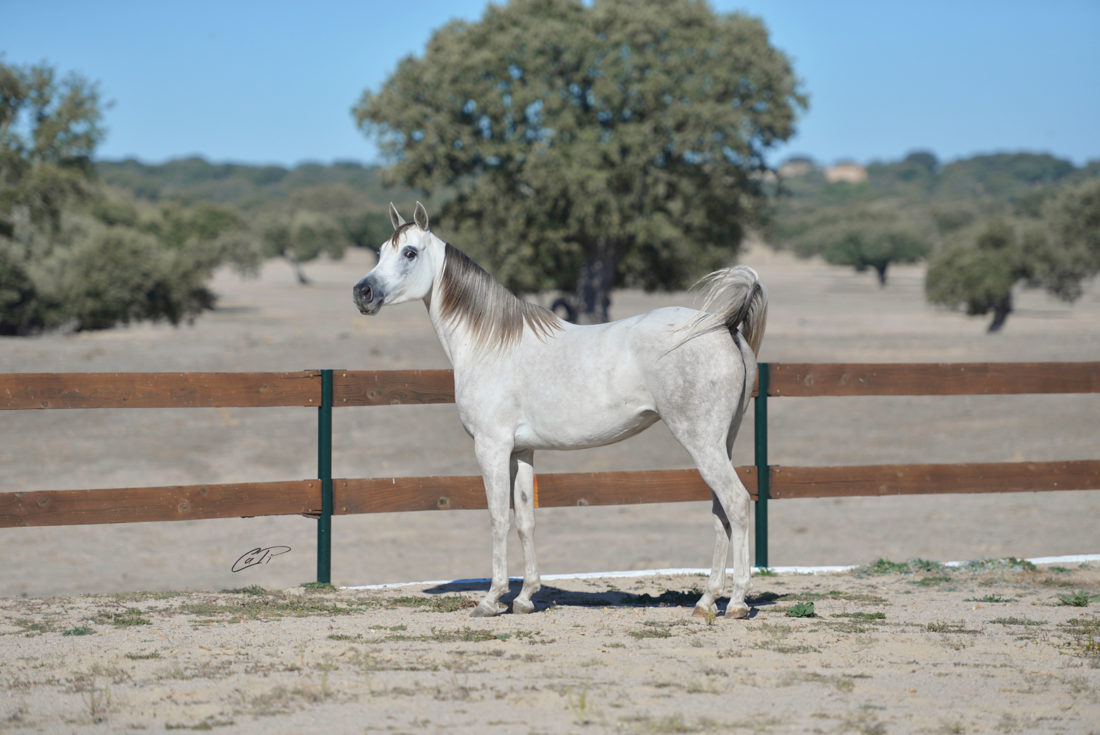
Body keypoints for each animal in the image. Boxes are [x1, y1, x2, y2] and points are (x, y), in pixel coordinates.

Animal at [352, 201, 765, 620]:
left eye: (410, 252)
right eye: (380, 252)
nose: (362, 292)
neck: (490, 344)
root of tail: (722, 326)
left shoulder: (491, 447)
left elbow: (498, 518)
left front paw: (491, 599)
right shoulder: (522, 450)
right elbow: (525, 520)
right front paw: (524, 597)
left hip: (701, 442)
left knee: (736, 504)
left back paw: (736, 602)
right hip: (720, 443)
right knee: (720, 512)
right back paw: (707, 601)